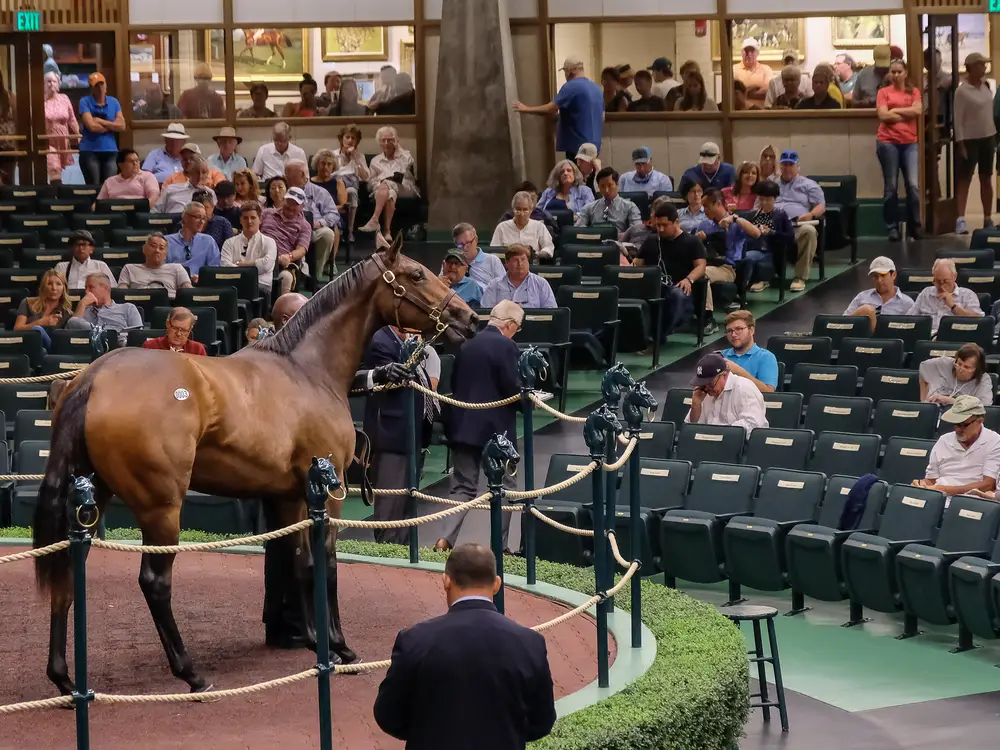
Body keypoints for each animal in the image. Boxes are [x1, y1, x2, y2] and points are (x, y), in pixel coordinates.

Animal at [33, 244, 478, 696]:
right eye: (417, 274)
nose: (469, 318)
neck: (306, 370)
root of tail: (93, 378)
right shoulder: (330, 492)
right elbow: (327, 563)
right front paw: (341, 647)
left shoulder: (290, 496)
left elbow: (300, 563)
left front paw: (314, 641)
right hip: (161, 508)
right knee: (154, 582)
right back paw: (190, 673)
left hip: (92, 498)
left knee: (67, 570)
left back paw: (64, 678)